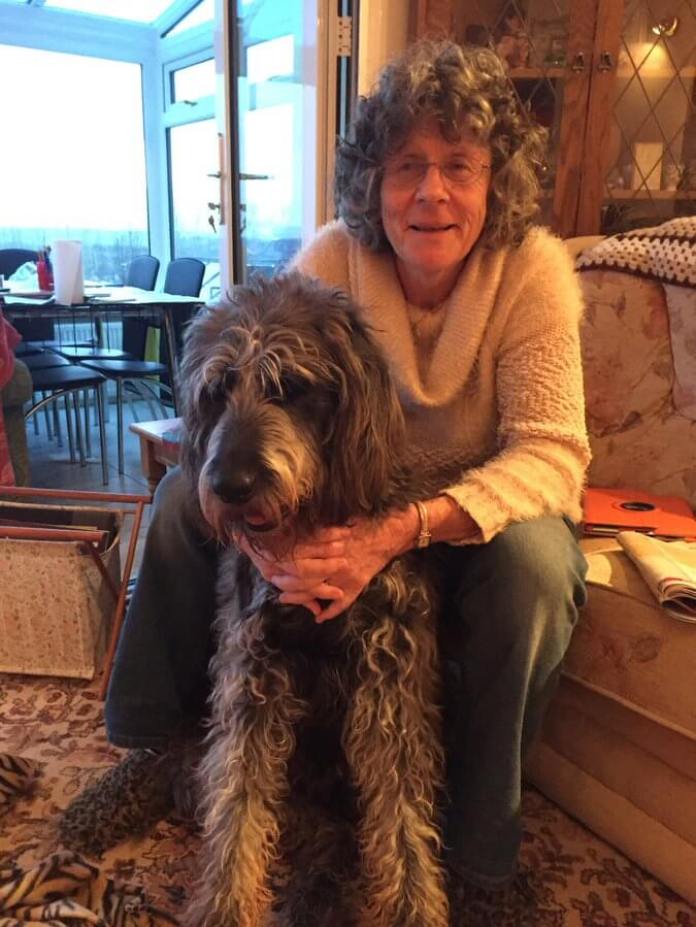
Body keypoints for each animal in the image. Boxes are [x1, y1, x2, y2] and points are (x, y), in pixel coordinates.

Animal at [178, 273, 450, 927]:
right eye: (216, 392)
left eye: (291, 387)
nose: (229, 485)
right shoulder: (253, 670)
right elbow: (239, 794)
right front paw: (226, 902)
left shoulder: (390, 679)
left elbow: (400, 808)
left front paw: (411, 903)